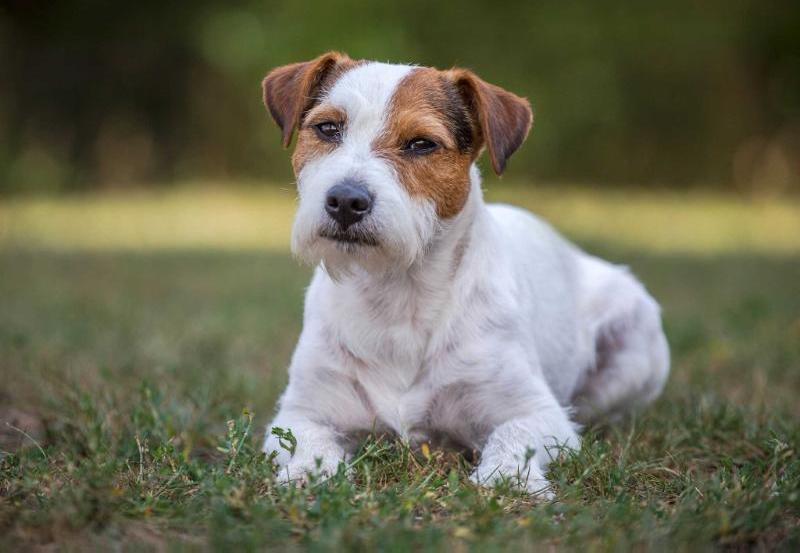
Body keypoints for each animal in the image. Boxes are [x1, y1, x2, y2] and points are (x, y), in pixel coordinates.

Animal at [260, 51, 664, 492]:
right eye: (328, 128)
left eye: (422, 144)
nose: (346, 201)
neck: (398, 295)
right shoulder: (299, 412)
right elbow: (309, 442)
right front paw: (309, 473)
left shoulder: (539, 414)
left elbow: (512, 434)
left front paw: (507, 477)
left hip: (635, 347)